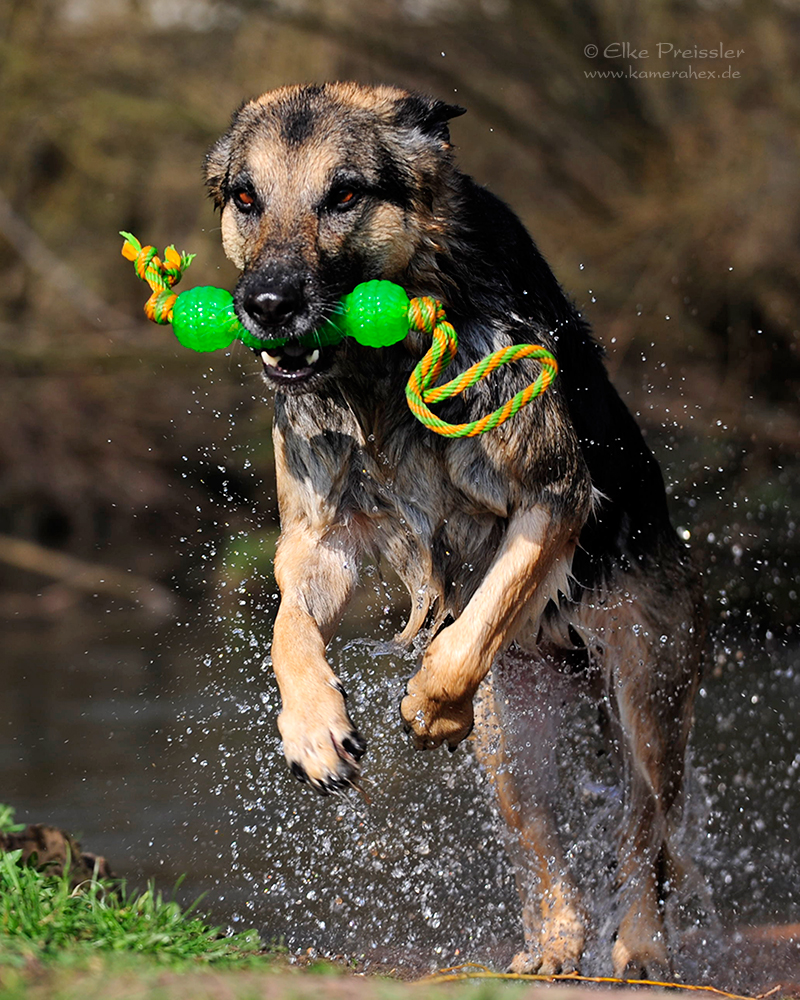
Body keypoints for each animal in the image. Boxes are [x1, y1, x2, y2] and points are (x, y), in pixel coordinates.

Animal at [205, 84, 700, 976]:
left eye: (344, 195)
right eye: (247, 198)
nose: (265, 305)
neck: (380, 372)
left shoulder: (552, 499)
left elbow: (474, 629)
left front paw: (431, 708)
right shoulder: (320, 542)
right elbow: (288, 630)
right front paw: (313, 728)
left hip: (647, 692)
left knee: (644, 831)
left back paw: (639, 947)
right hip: (513, 746)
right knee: (538, 845)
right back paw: (552, 947)